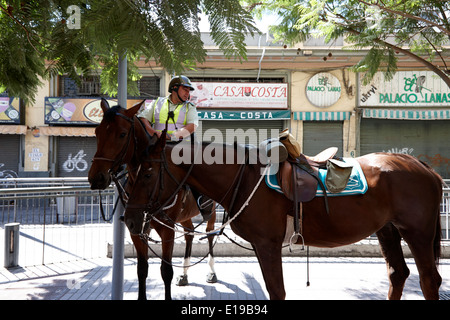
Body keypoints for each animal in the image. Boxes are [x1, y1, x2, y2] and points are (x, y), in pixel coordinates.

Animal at [88, 100, 218, 300]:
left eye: (122, 134)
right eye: (97, 132)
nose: (96, 178)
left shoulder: (167, 229)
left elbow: (166, 270)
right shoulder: (136, 229)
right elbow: (142, 269)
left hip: (211, 212)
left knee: (210, 234)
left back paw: (211, 272)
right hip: (184, 216)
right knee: (189, 234)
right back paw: (184, 274)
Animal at [123, 118, 442, 300]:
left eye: (147, 173)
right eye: (132, 172)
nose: (130, 218)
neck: (245, 176)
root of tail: (423, 166)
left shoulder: (268, 244)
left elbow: (277, 291)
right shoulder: (262, 245)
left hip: (418, 233)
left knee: (430, 281)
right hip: (388, 230)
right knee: (398, 275)